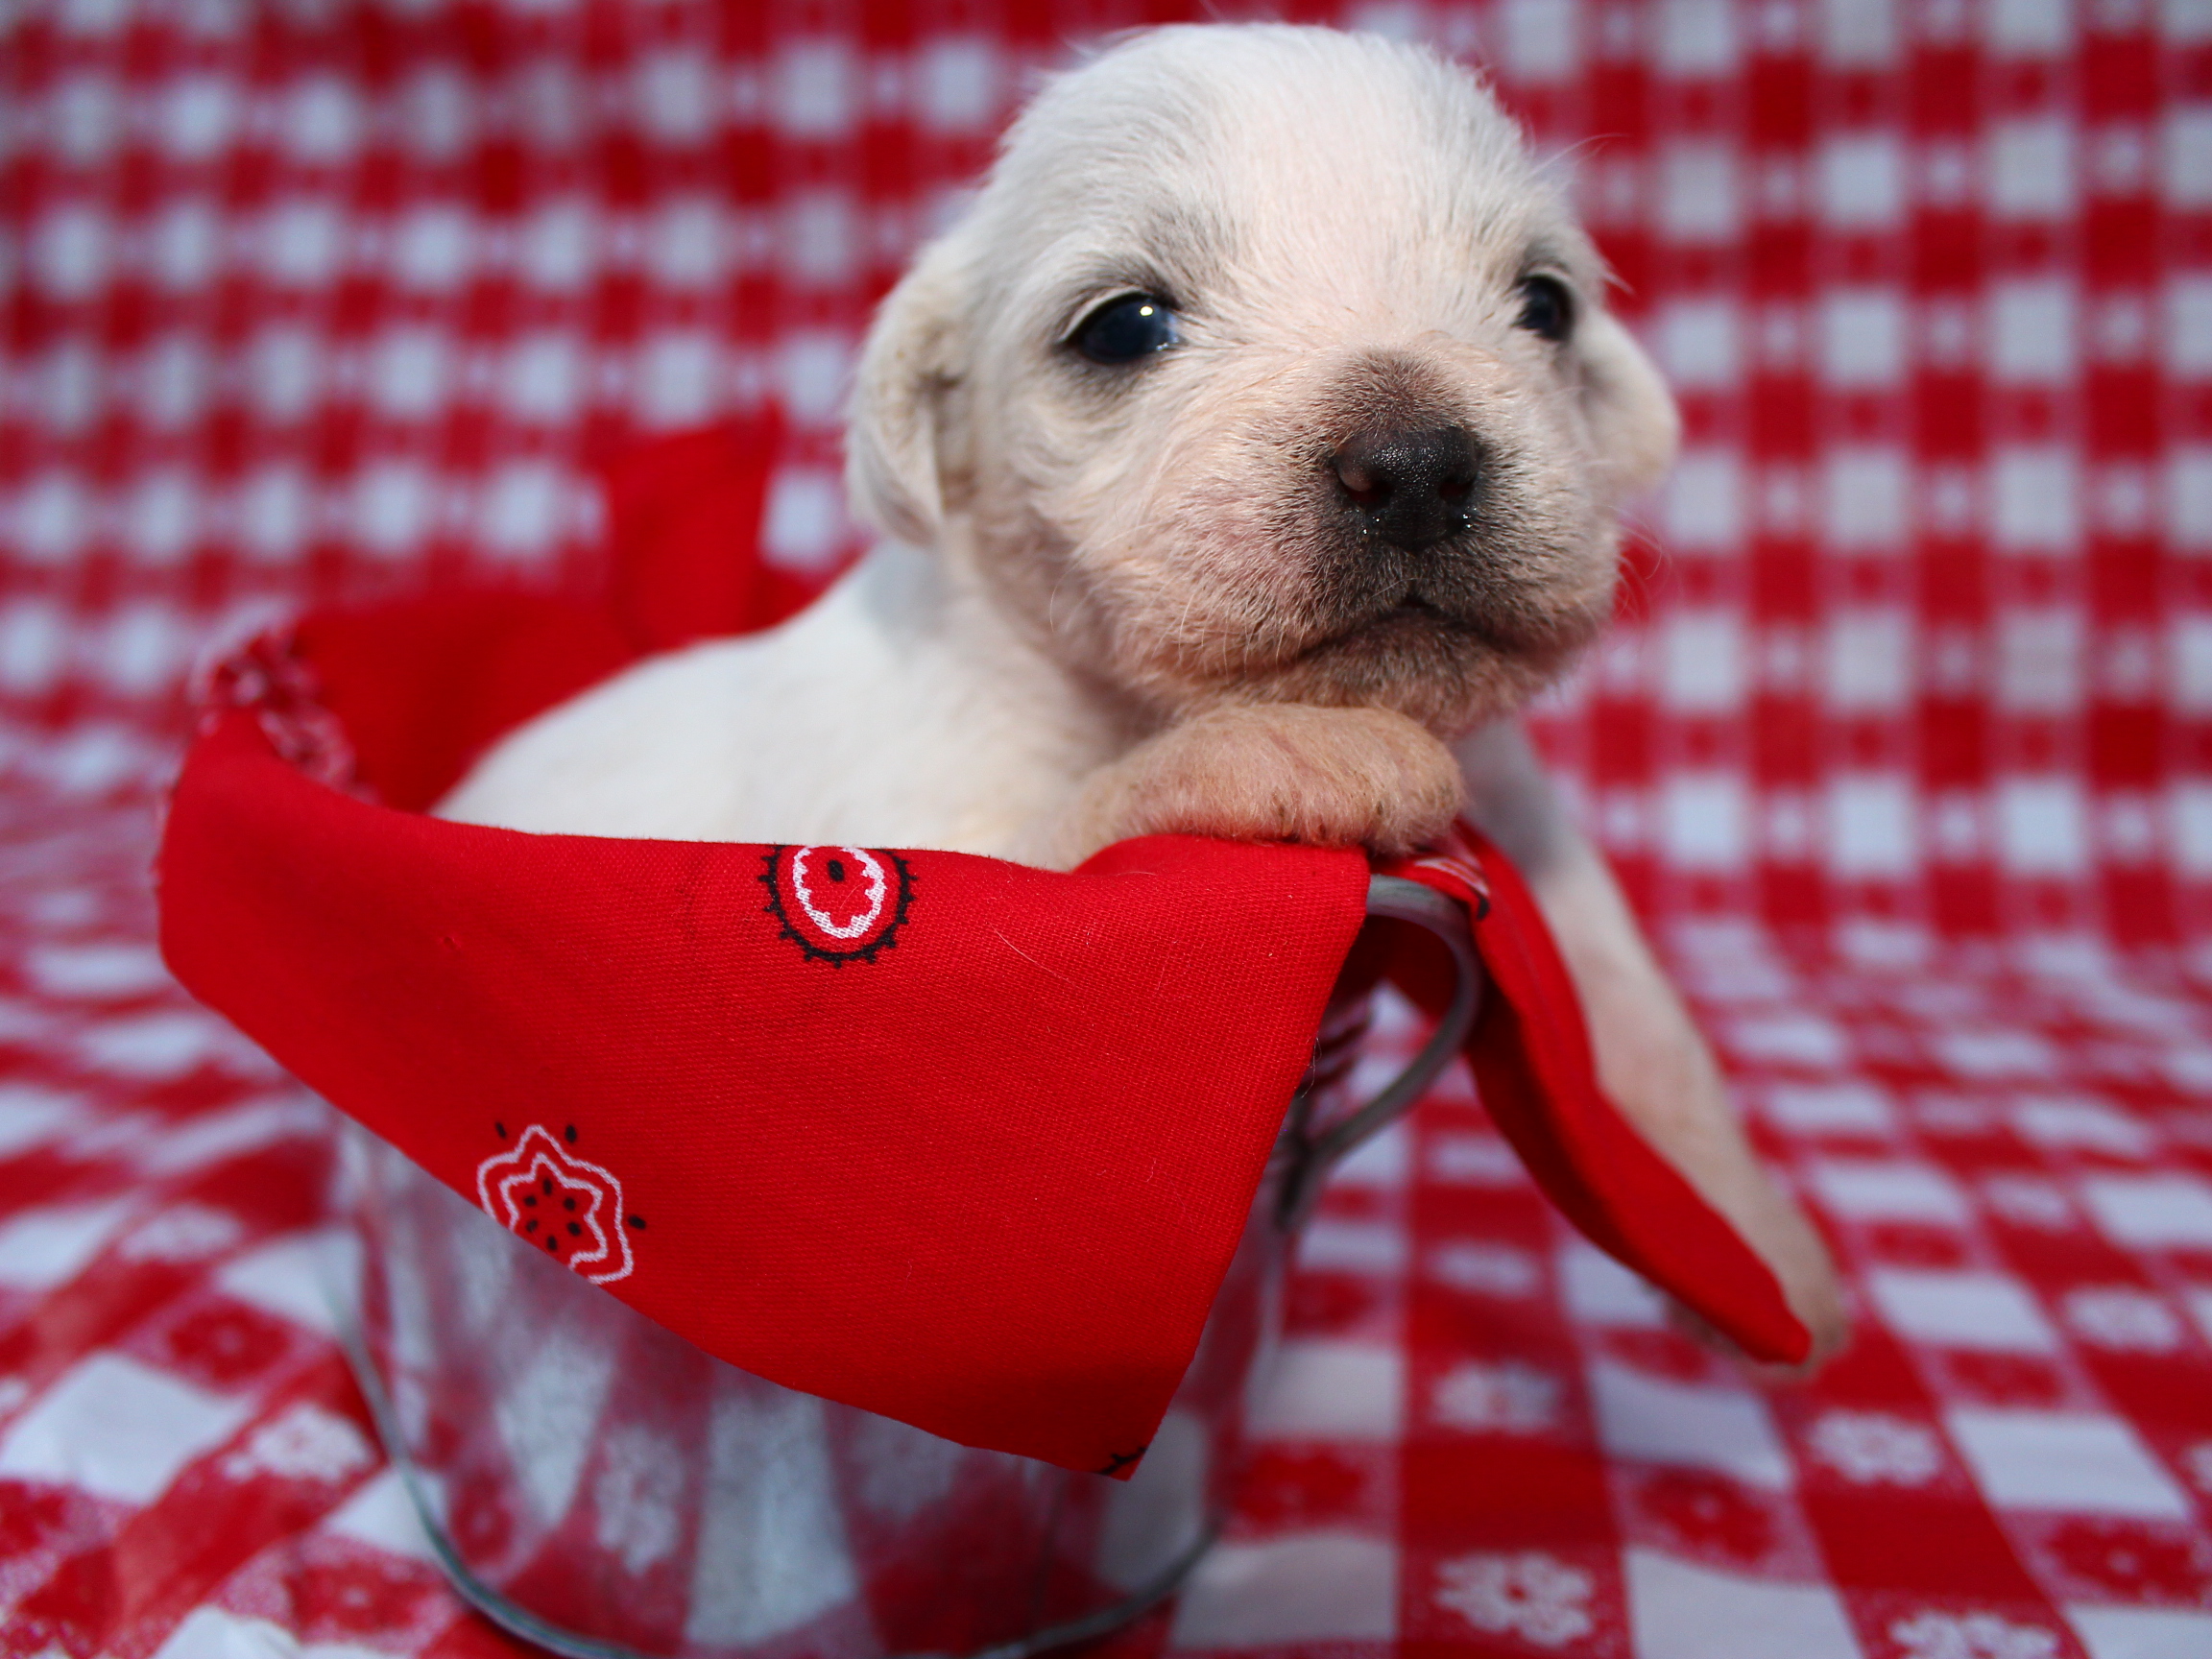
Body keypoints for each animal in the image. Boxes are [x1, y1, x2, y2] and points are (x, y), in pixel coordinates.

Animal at [435, 19, 1849, 1354]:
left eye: (1546, 304)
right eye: (1123, 327)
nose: (1415, 463)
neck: (1114, 689)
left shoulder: (1520, 801)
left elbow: (1621, 987)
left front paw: (1747, 1231)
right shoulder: (922, 858)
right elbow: (1093, 813)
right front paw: (1295, 751)